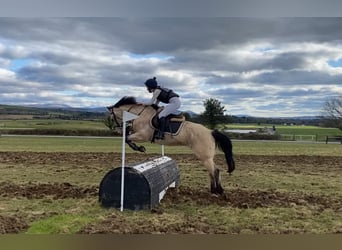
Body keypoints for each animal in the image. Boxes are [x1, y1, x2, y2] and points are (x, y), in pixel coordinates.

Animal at [107, 96, 235, 195]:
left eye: (112, 118)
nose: (117, 130)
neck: (140, 115)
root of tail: (210, 132)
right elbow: (127, 136)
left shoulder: (143, 135)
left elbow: (127, 139)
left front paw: (140, 148)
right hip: (206, 157)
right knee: (213, 171)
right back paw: (214, 190)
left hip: (204, 156)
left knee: (214, 171)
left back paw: (218, 191)